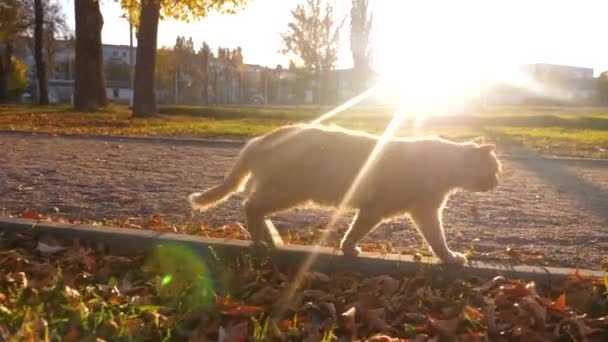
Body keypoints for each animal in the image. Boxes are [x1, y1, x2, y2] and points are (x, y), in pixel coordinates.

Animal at [188, 123, 502, 264]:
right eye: (495, 169)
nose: (498, 182)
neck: (442, 165)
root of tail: (260, 138)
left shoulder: (423, 213)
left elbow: (436, 240)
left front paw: (448, 257)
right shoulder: (377, 210)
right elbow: (356, 232)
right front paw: (349, 249)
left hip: (282, 193)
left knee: (256, 209)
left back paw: (270, 238)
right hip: (288, 192)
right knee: (251, 207)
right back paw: (260, 242)